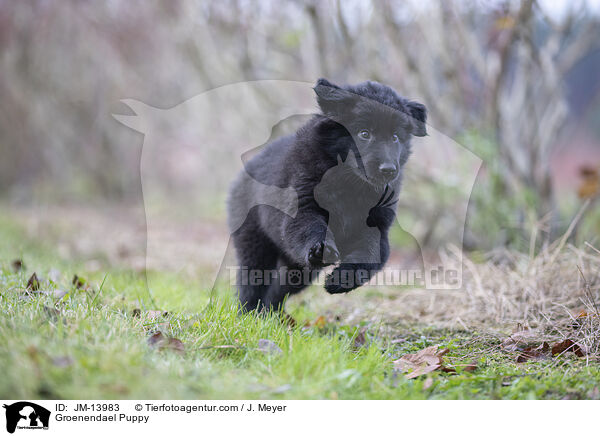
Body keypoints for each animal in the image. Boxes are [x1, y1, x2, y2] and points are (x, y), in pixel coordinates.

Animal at [226, 77, 426, 310]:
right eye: (364, 133)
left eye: (395, 137)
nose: (388, 170)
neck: (351, 185)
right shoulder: (302, 208)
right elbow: (311, 228)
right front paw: (322, 248)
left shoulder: (376, 228)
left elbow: (367, 256)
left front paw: (342, 280)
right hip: (255, 243)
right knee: (252, 282)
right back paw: (248, 311)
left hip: (297, 268)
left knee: (280, 288)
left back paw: (269, 313)